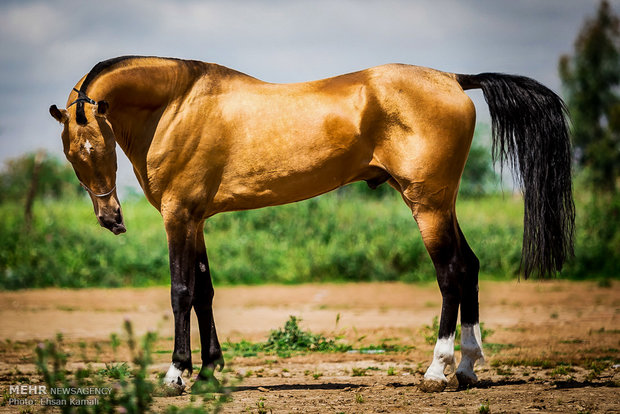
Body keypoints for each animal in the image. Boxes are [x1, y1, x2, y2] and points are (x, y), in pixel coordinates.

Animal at [50, 55, 572, 392]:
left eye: (96, 146)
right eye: (71, 153)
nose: (110, 219)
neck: (177, 104)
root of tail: (453, 79)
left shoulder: (178, 216)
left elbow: (180, 292)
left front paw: (177, 375)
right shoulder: (196, 219)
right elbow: (204, 293)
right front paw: (210, 373)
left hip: (428, 204)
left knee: (452, 273)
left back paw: (436, 371)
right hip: (441, 204)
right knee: (471, 266)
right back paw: (466, 369)